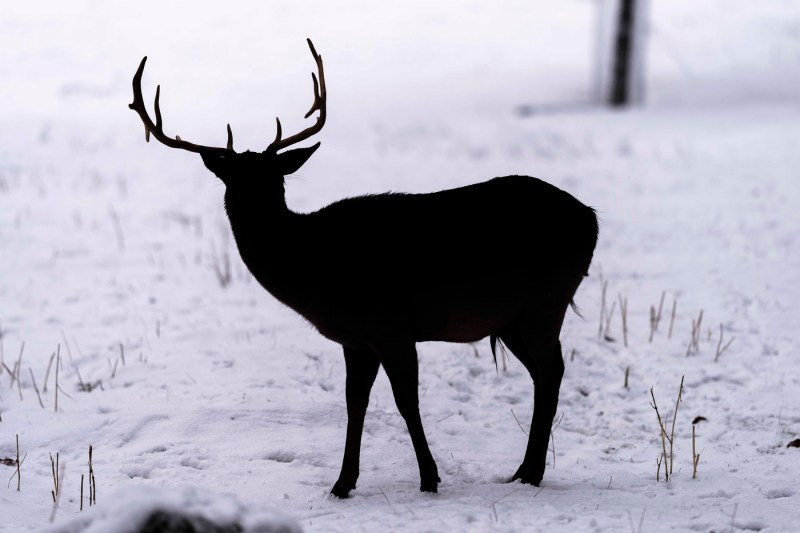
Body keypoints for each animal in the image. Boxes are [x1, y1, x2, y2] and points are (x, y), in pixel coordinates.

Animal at [129, 39, 598, 498]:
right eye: (234, 179)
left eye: (276, 178)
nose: (255, 209)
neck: (315, 269)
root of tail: (592, 218)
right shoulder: (356, 338)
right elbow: (355, 403)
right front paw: (342, 484)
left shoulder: (391, 324)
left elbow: (406, 401)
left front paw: (429, 479)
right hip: (515, 317)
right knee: (544, 375)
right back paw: (523, 471)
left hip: (545, 301)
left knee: (551, 372)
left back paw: (532, 473)